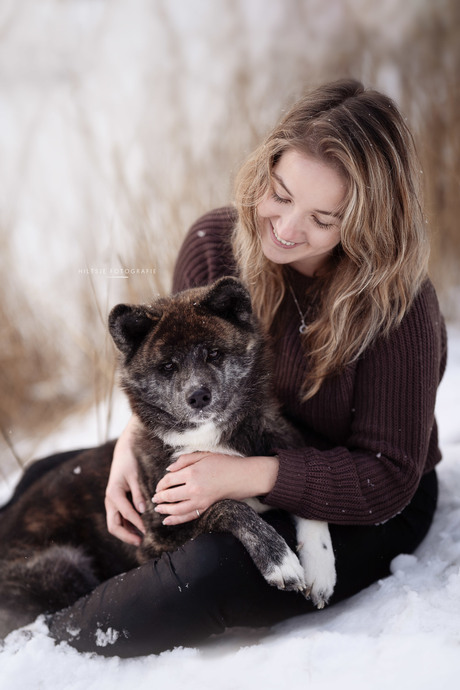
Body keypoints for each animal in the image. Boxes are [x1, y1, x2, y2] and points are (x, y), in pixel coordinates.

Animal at [0, 274, 338, 636]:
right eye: (167, 367)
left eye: (214, 353)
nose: (198, 396)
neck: (209, 439)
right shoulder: (156, 540)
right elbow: (227, 506)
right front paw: (279, 560)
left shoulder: (291, 451)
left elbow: (312, 501)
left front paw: (321, 569)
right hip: (63, 564)